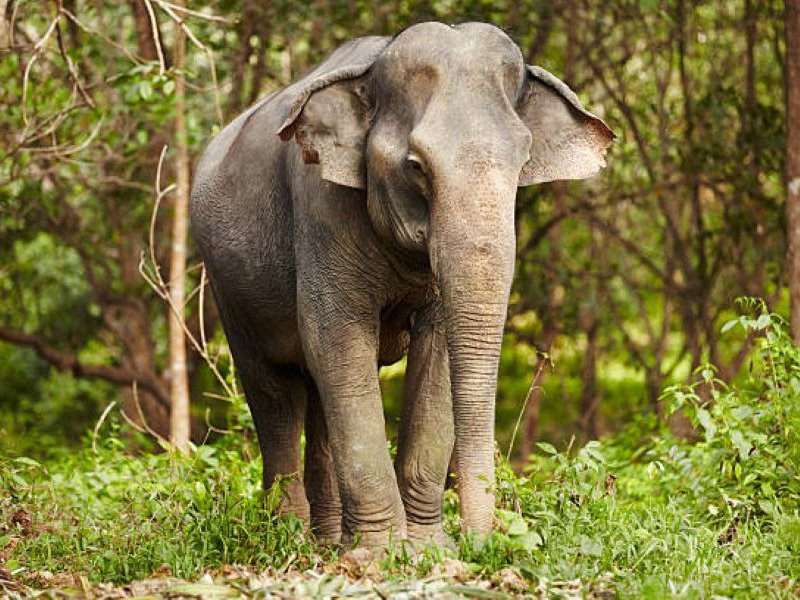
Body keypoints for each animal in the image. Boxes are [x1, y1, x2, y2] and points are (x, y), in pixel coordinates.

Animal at [190, 21, 614, 549]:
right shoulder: (321, 208)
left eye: (524, 162)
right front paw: (382, 553)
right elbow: (336, 338)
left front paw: (428, 547)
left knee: (319, 396)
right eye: (416, 166)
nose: (484, 544)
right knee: (276, 392)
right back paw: (292, 538)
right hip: (228, 287)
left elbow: (437, 353)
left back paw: (328, 541)